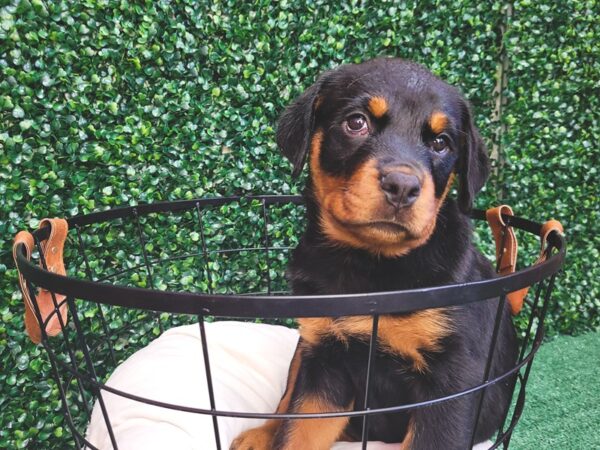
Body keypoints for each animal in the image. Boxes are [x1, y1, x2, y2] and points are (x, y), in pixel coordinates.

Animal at [231, 58, 520, 450]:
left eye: (441, 143)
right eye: (356, 122)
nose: (402, 185)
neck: (369, 264)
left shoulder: (452, 380)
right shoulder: (325, 363)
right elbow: (296, 429)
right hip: (306, 347)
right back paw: (260, 433)